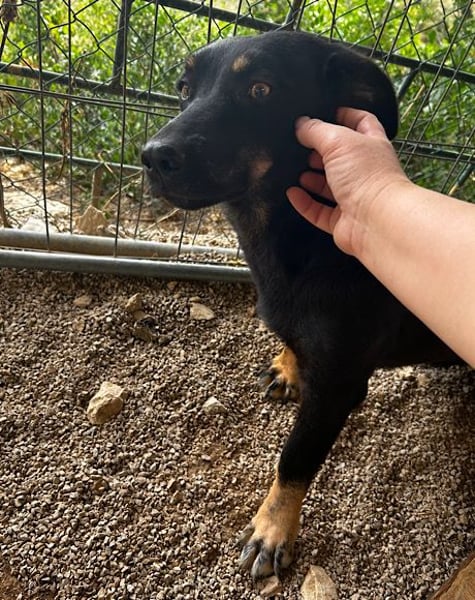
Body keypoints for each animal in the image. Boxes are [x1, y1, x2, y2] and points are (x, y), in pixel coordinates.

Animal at [141, 30, 459, 581]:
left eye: (262, 89)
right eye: (184, 87)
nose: (152, 156)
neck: (301, 243)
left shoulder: (338, 388)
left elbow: (293, 460)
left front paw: (272, 531)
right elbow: (290, 340)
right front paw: (287, 367)